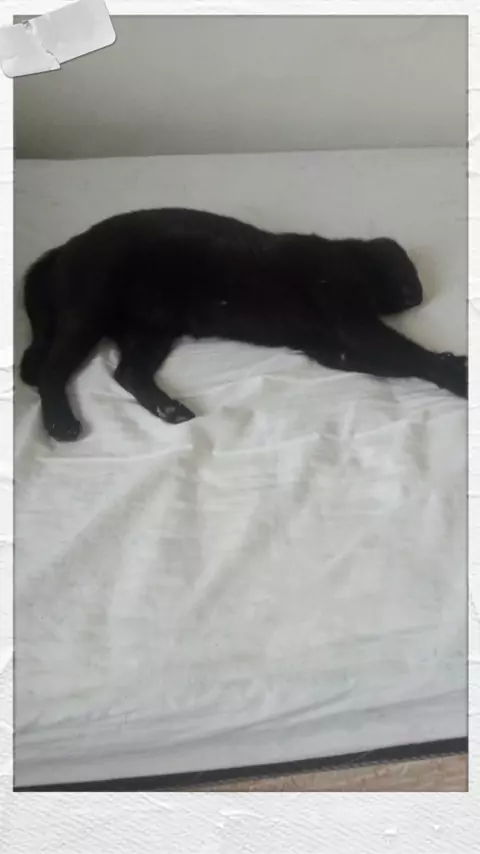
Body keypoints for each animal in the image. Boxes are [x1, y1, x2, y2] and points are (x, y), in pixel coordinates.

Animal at [20, 207, 467, 442]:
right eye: (410, 275)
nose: (418, 295)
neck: (345, 256)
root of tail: (63, 248)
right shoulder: (350, 319)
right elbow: (411, 353)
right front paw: (458, 373)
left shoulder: (334, 349)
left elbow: (400, 362)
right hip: (87, 316)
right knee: (50, 371)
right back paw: (61, 423)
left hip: (151, 330)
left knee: (127, 372)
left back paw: (170, 410)